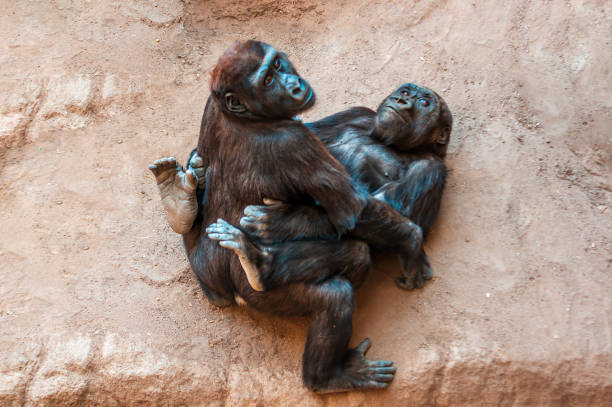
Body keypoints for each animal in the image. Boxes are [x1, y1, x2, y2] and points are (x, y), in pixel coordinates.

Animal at [148, 40, 432, 392]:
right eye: (268, 81)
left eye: (278, 65)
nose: (294, 86)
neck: (249, 118)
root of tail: (225, 296)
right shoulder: (294, 141)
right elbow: (356, 209)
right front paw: (412, 242)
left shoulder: (212, 108)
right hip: (260, 299)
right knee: (342, 282)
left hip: (204, 270)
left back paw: (179, 204)